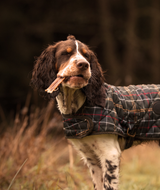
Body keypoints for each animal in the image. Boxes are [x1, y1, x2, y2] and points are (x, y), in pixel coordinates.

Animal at [30, 35, 160, 189]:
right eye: (65, 54)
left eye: (86, 56)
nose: (83, 64)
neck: (79, 107)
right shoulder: (91, 157)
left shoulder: (110, 154)